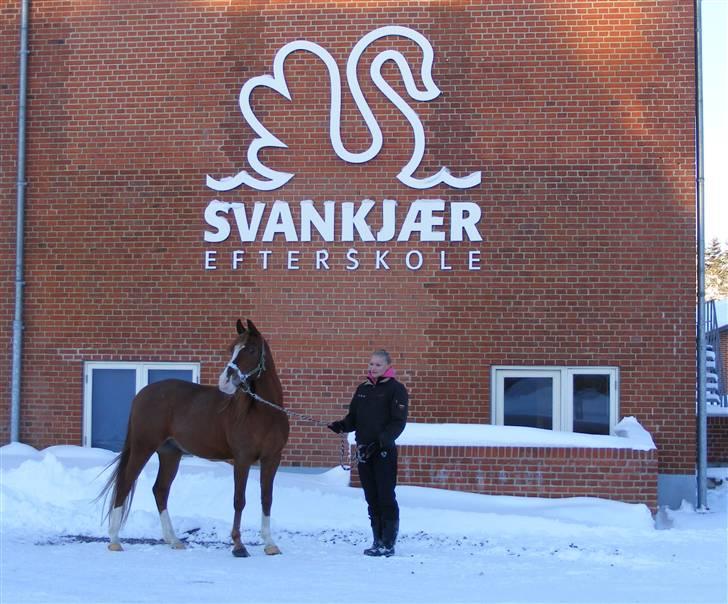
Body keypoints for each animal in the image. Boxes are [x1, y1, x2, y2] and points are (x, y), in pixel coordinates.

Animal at [97, 318, 290, 560]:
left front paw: (270, 544)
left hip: (170, 453)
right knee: (125, 483)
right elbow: (239, 500)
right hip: (143, 447)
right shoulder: (242, 459)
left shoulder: (272, 459)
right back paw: (114, 540)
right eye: (232, 349)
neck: (265, 413)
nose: (225, 381)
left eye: (252, 350)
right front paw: (238, 545)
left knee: (160, 490)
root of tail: (142, 394)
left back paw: (174, 540)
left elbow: (267, 499)